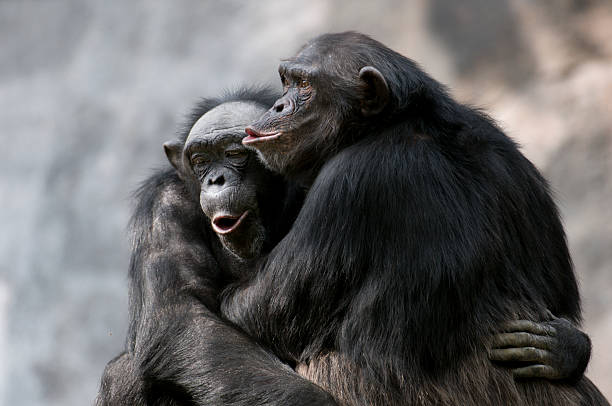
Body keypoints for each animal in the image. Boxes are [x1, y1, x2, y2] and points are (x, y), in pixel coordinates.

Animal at [220, 32, 608, 406]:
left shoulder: (349, 182)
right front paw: (569, 345)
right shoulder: (515, 164)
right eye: (286, 81)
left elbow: (251, 309)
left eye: (304, 85)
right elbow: (561, 303)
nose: (279, 105)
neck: (397, 123)